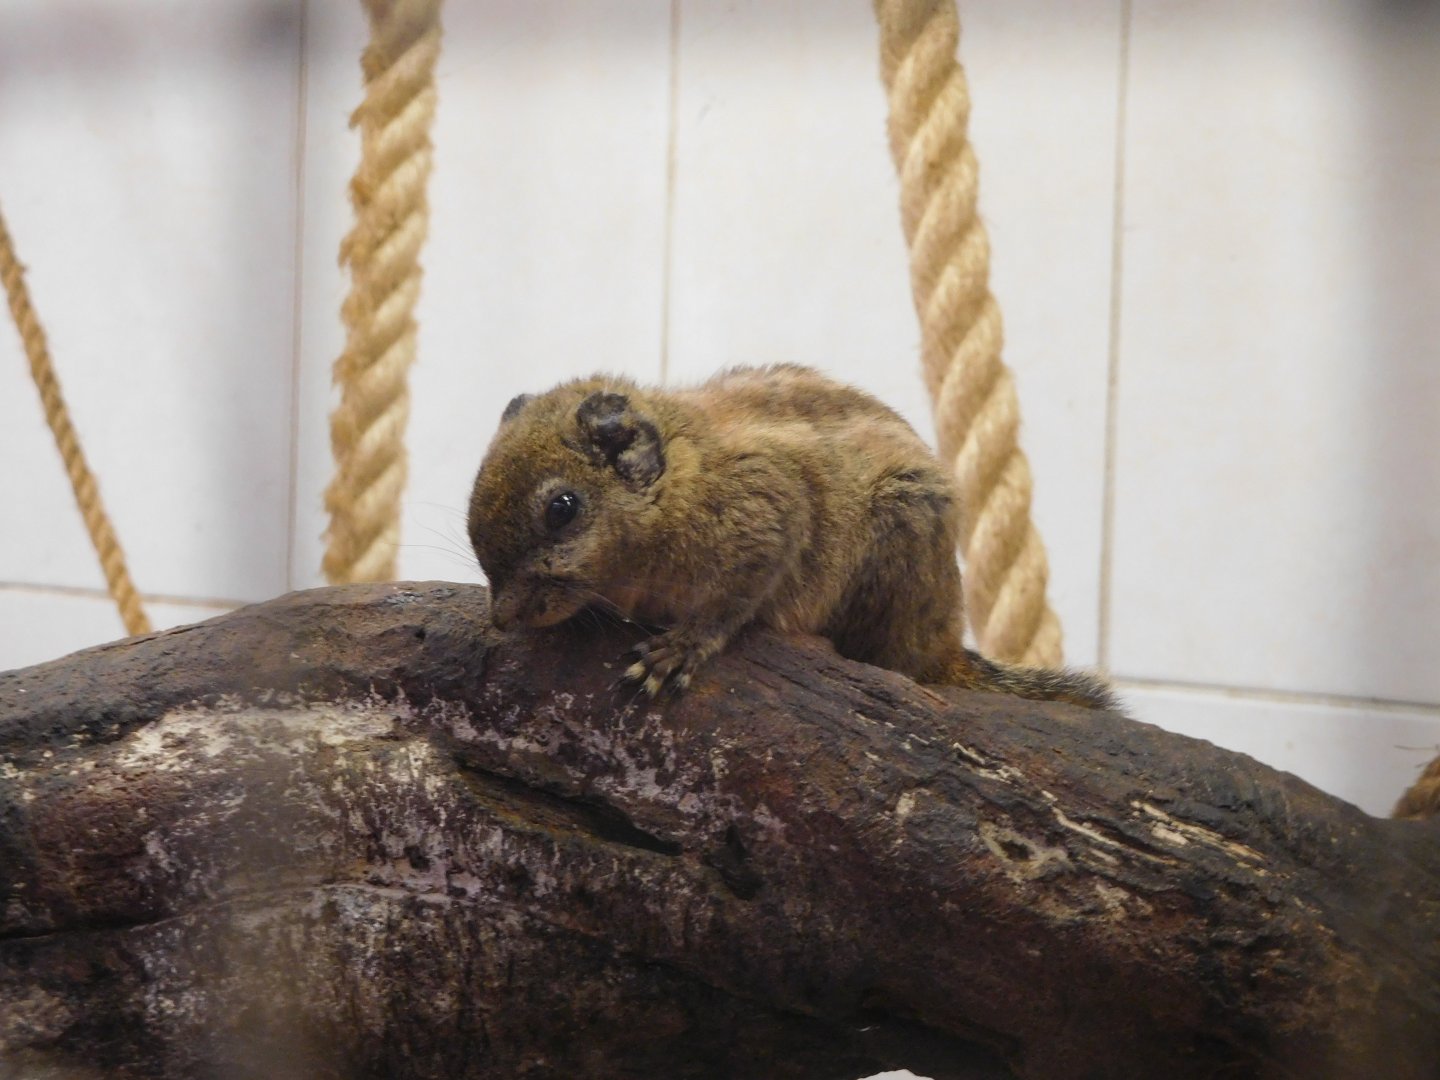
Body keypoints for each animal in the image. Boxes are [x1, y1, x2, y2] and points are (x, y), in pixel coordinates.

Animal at [467, 364, 1115, 710]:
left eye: (562, 509)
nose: (502, 615)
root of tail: (945, 648)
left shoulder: (768, 509)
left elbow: (733, 599)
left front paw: (683, 647)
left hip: (904, 521)